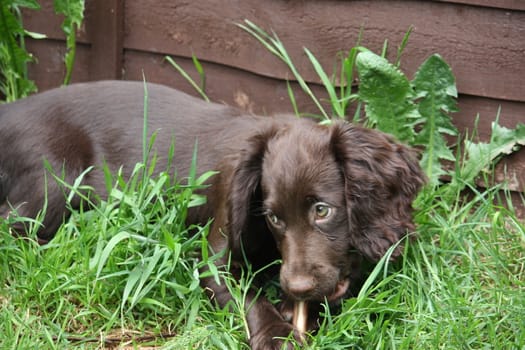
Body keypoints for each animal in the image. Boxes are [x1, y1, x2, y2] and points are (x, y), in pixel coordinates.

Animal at [0, 80, 424, 348]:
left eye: (323, 211)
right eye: (274, 218)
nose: (296, 288)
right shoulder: (214, 257)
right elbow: (248, 296)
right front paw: (276, 334)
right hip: (58, 182)